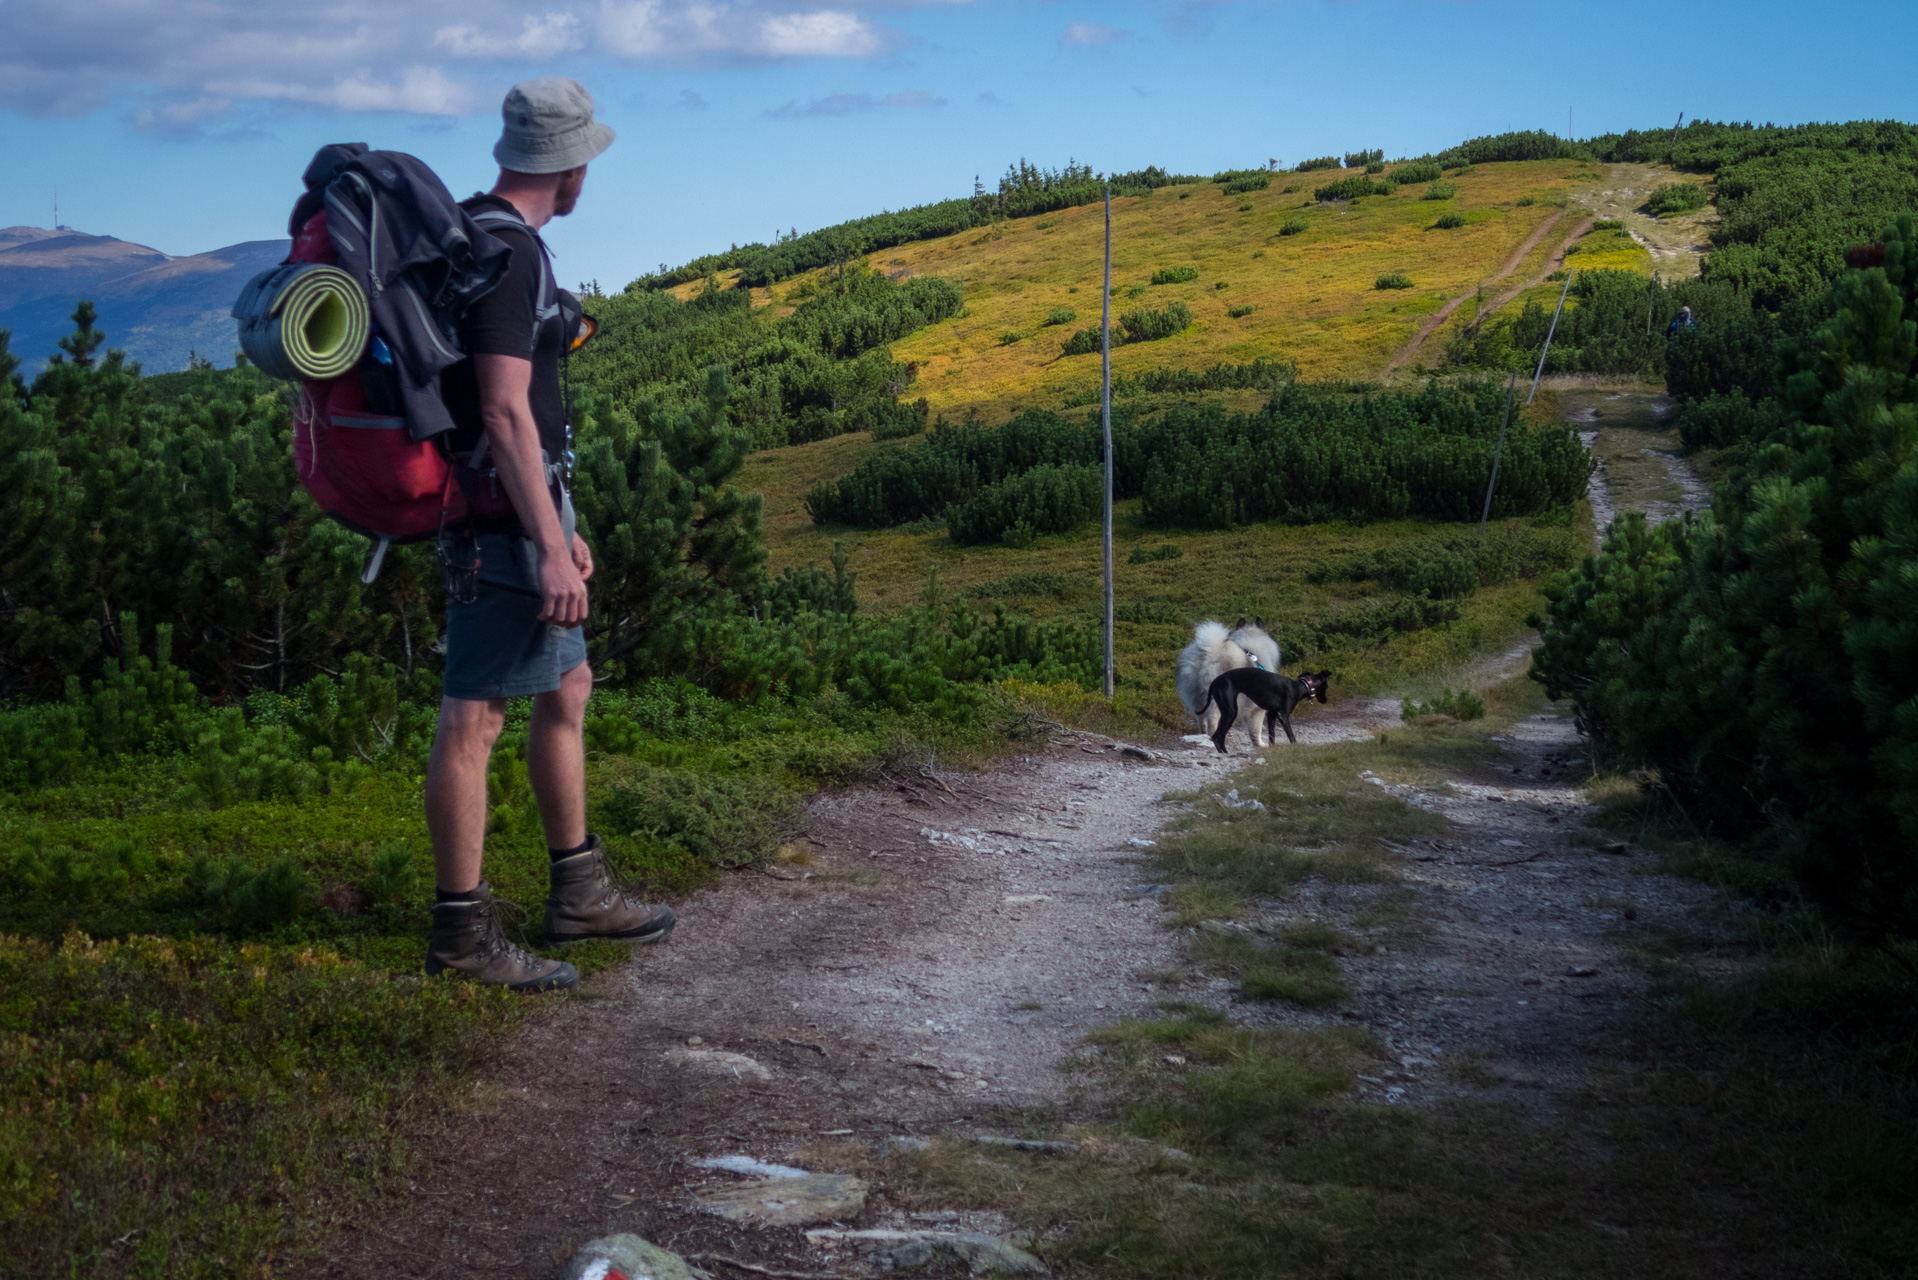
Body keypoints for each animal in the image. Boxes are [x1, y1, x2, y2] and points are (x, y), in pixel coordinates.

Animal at [1166, 621, 1288, 752]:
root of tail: (1210, 650)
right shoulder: (1258, 709)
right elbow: (1255, 729)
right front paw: (1260, 744)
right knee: (1213, 718)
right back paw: (1214, 737)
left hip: (1196, 696)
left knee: (1202, 718)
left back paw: (1204, 735)